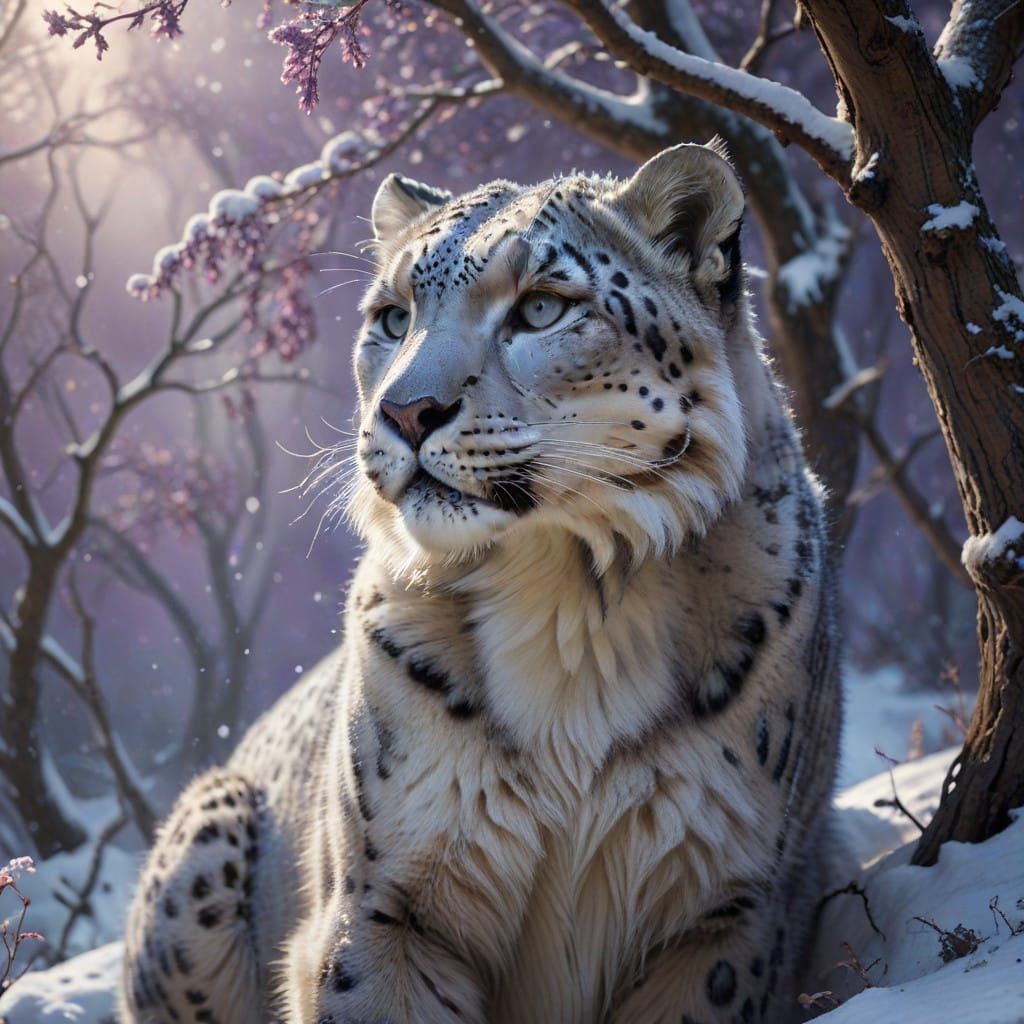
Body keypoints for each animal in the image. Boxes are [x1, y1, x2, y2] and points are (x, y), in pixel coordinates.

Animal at [120, 141, 842, 1024]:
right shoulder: (386, 906)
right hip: (208, 831)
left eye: (542, 308)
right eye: (393, 317)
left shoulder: (722, 919)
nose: (405, 411)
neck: (566, 609)